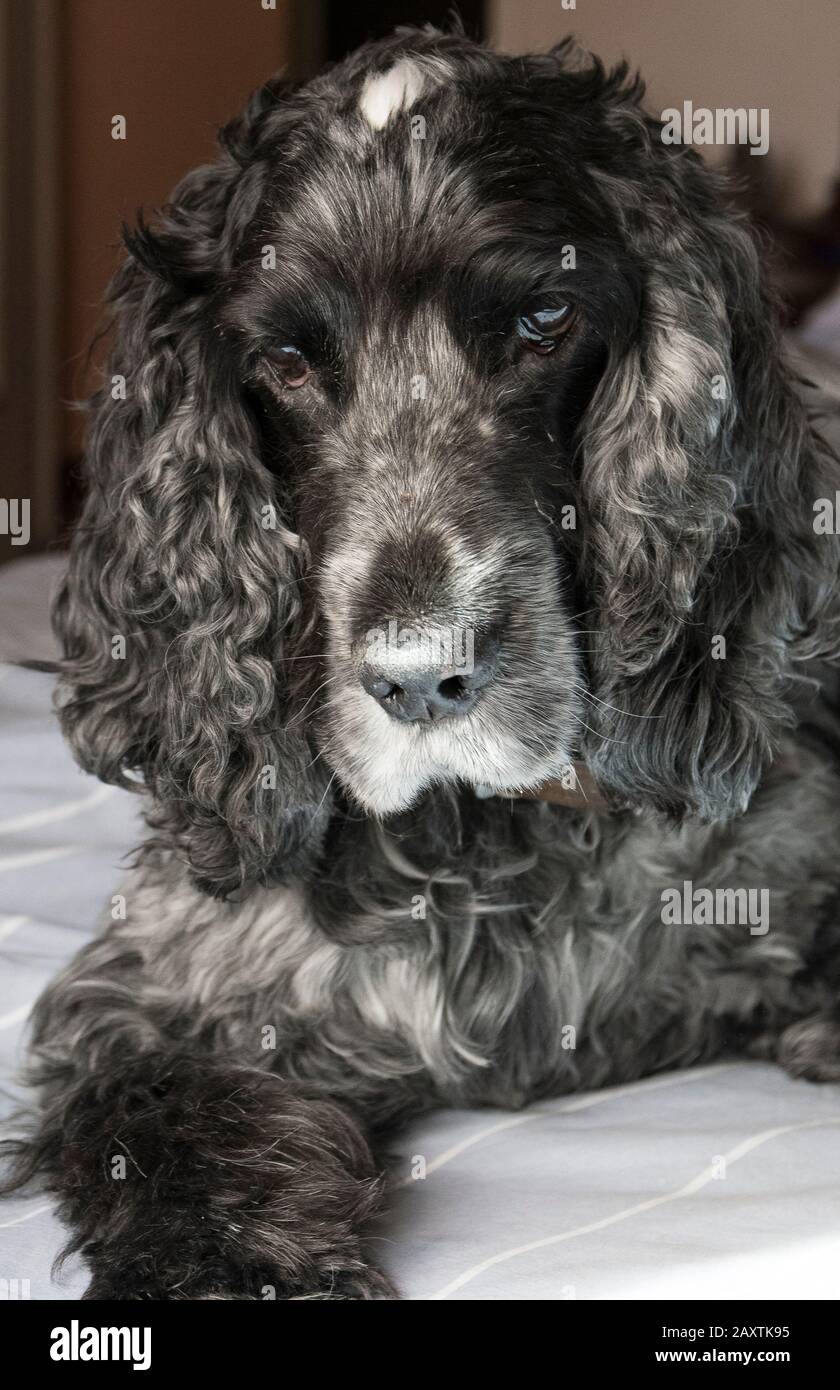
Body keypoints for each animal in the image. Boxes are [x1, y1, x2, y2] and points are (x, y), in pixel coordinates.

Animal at [4, 27, 840, 1295]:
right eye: (287, 363)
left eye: (544, 320)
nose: (416, 678)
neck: (476, 836)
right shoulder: (152, 991)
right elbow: (156, 1119)